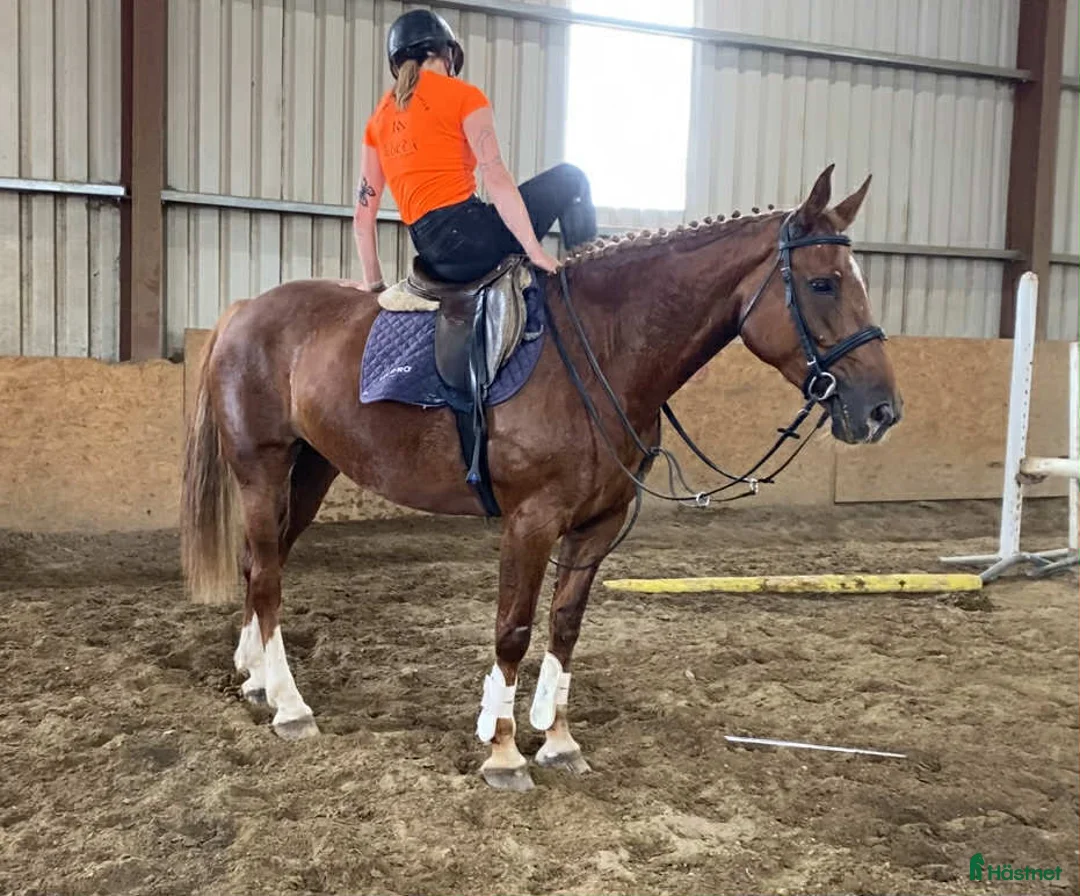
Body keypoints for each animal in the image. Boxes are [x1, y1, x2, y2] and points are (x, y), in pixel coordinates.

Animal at [180, 164, 901, 791]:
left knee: (261, 562)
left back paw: (255, 678)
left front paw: (557, 741)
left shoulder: (596, 526)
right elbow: (514, 630)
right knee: (267, 576)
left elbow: (564, 627)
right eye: (824, 284)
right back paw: (289, 705)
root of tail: (245, 310)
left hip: (311, 470)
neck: (602, 350)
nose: (881, 411)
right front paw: (503, 752)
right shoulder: (531, 522)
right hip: (262, 467)